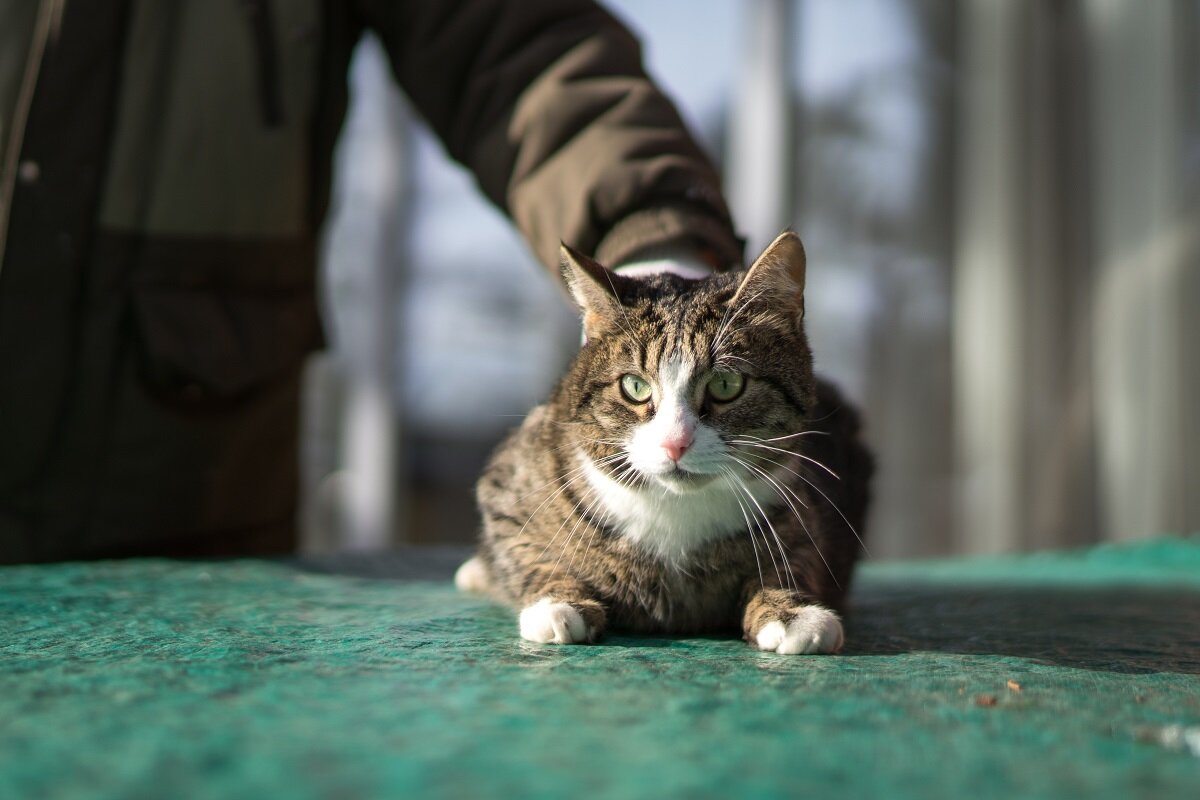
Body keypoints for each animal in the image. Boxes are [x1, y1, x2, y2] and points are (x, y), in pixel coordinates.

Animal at [451, 227, 873, 652]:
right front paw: (557, 603)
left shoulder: (806, 505)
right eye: (635, 386)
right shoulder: (506, 487)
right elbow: (527, 551)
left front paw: (791, 612)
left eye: (726, 384)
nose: (675, 443)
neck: (675, 512)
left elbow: (795, 559)